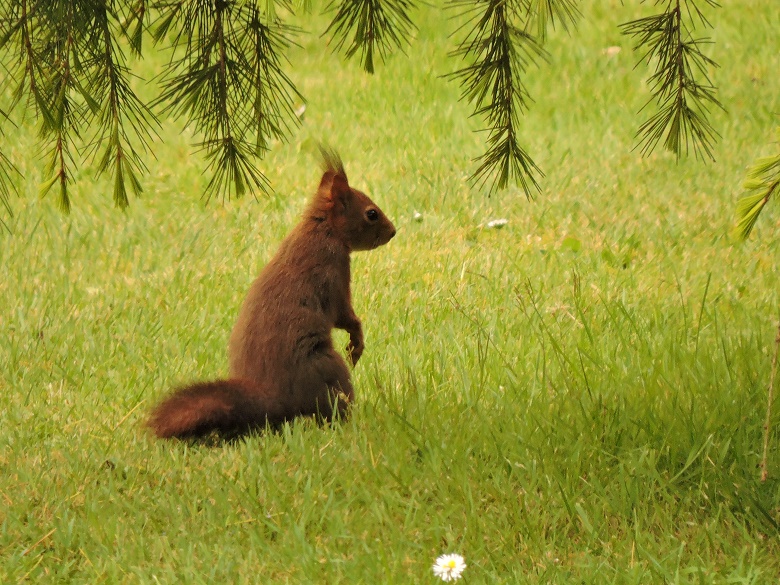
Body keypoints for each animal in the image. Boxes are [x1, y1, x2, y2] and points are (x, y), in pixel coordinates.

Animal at [148, 151, 396, 438]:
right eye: (371, 214)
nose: (393, 232)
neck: (323, 230)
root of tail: (275, 398)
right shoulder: (334, 274)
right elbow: (344, 315)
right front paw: (357, 341)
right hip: (328, 369)